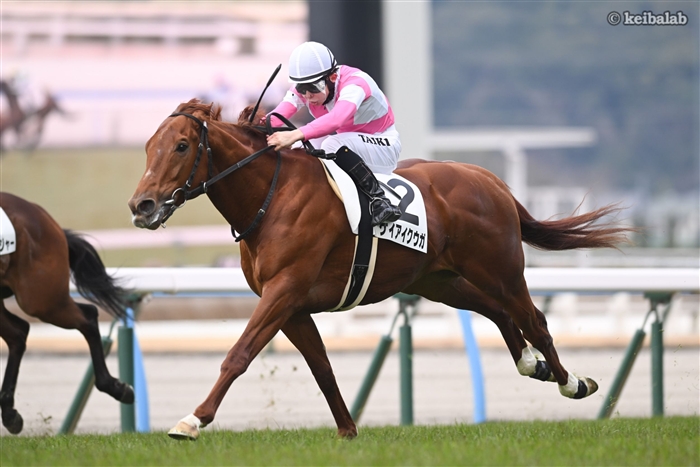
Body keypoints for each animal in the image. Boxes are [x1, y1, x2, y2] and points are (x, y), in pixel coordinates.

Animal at [128, 100, 630, 440]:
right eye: (148, 147)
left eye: (181, 146)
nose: (141, 206)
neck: (271, 195)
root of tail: (490, 179)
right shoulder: (291, 306)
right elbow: (322, 367)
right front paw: (348, 431)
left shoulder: (284, 290)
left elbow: (239, 355)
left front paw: (192, 420)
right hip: (439, 281)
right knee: (500, 314)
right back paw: (532, 364)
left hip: (501, 270)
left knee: (535, 320)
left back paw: (572, 383)